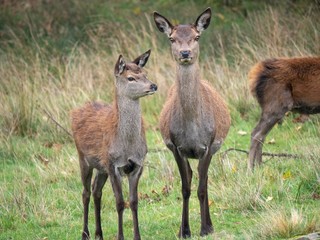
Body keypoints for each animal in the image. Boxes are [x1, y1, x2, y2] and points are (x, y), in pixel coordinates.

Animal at [72, 50, 158, 240]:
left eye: (145, 73)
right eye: (131, 78)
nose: (153, 86)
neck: (127, 146)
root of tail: (76, 111)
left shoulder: (137, 165)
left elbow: (133, 201)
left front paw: (137, 236)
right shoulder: (113, 165)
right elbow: (119, 202)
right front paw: (120, 236)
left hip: (101, 166)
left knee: (96, 191)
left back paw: (99, 233)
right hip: (83, 158)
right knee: (85, 193)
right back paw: (85, 233)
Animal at [154, 7, 230, 238]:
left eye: (197, 36)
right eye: (171, 38)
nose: (185, 53)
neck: (192, 130)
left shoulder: (207, 145)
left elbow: (202, 188)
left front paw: (205, 228)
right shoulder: (177, 147)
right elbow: (185, 188)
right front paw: (184, 231)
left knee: (204, 180)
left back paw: (210, 224)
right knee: (190, 176)